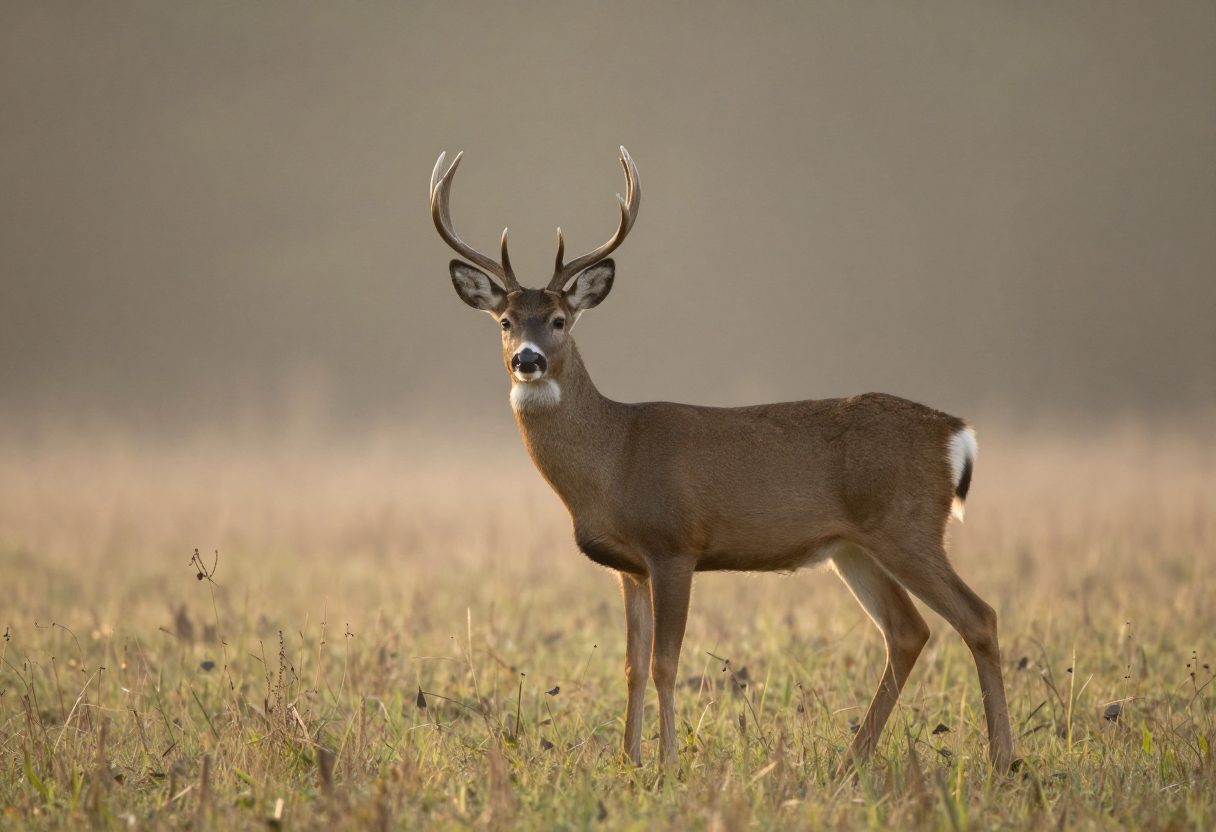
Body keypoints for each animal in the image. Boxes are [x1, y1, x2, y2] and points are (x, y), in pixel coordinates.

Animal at [428, 147, 1014, 773]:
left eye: (560, 320)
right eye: (506, 322)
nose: (528, 360)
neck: (614, 456)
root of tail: (955, 432)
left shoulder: (674, 545)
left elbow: (665, 662)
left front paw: (666, 764)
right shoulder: (628, 566)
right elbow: (632, 666)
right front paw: (629, 761)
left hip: (908, 526)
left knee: (978, 617)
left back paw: (1003, 759)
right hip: (853, 547)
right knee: (908, 632)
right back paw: (853, 759)